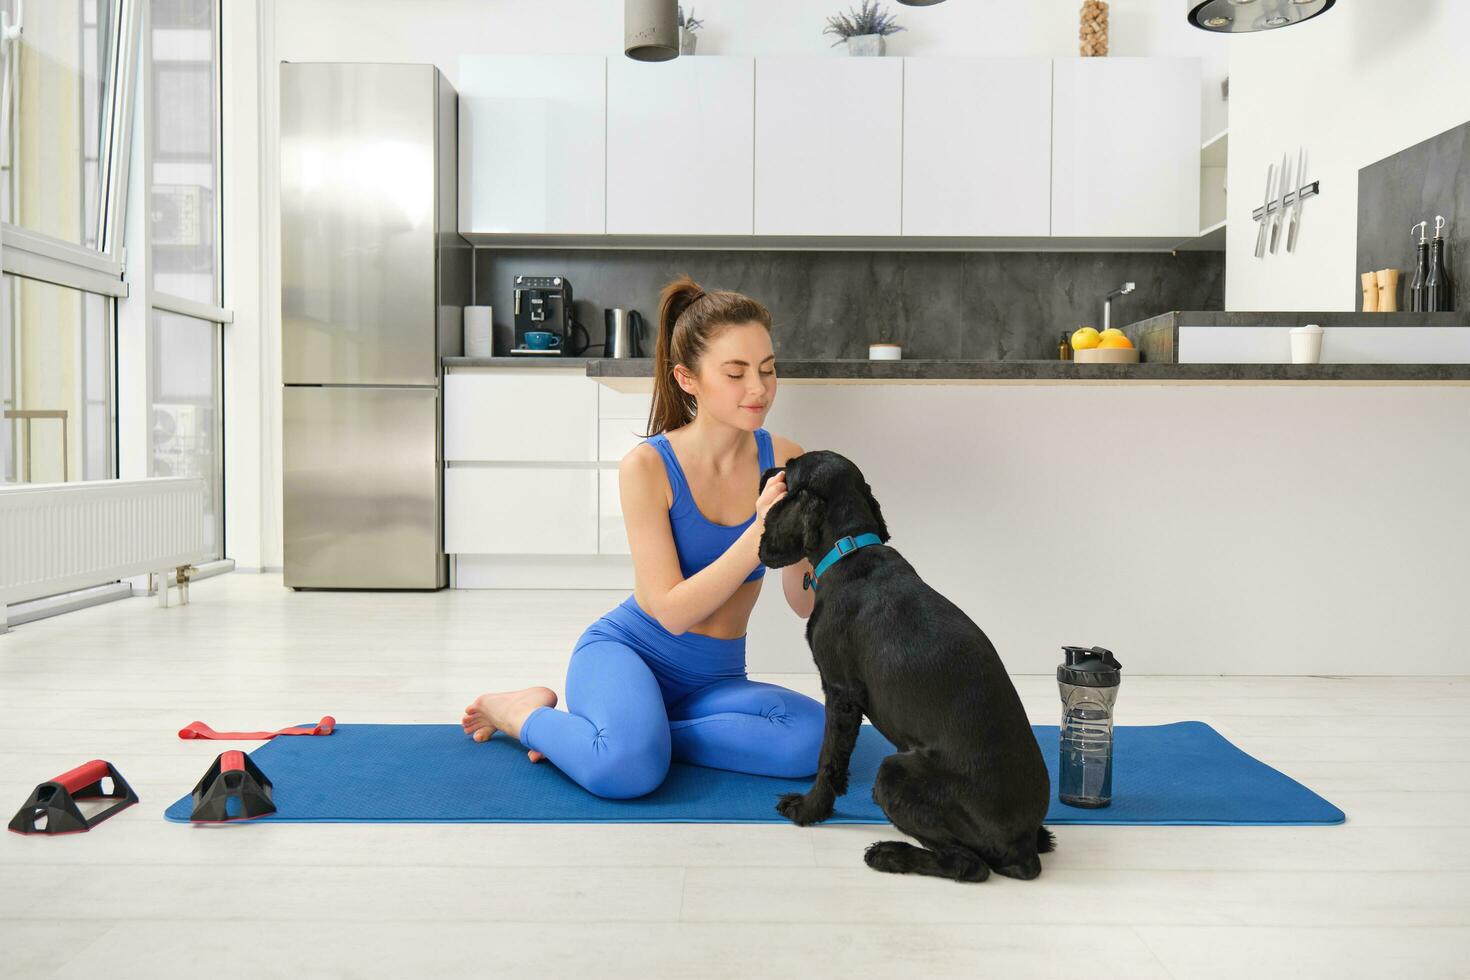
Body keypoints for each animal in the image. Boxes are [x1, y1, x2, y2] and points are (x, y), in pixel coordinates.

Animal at [758, 452, 1058, 881]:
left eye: (788, 469)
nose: (766, 472)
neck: (850, 548)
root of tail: (1022, 847)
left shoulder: (840, 691)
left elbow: (829, 760)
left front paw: (808, 809)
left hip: (893, 771)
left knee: (969, 864)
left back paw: (888, 853)